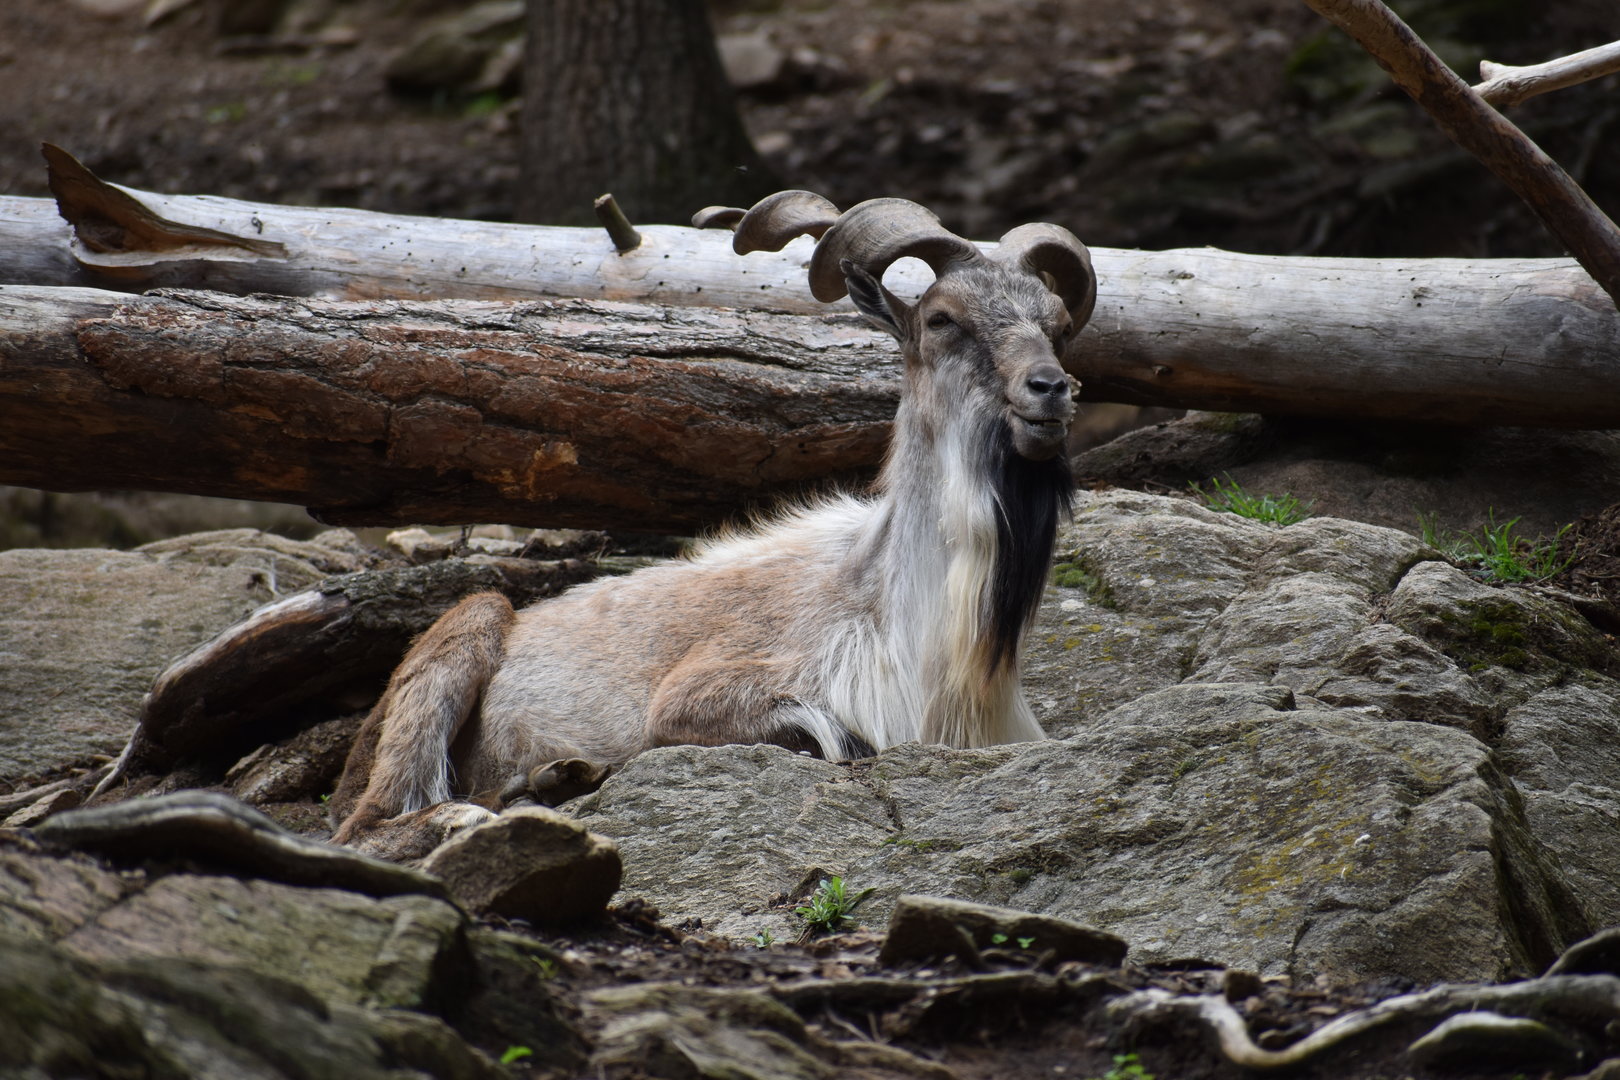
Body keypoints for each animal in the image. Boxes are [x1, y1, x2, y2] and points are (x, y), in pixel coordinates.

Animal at [331, 190, 1096, 850]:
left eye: (1058, 327)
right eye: (942, 319)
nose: (1051, 390)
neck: (902, 619)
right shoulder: (698, 698)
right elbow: (828, 735)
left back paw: (549, 781)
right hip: (468, 627)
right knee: (371, 822)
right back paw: (480, 810)